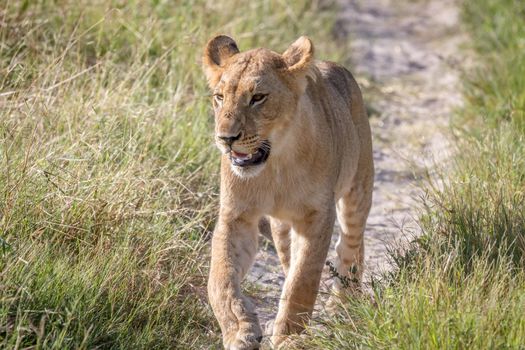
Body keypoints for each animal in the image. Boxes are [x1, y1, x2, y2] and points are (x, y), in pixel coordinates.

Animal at [202, 34, 372, 348]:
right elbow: (220, 278)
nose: (226, 138)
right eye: (219, 97)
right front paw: (240, 330)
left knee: (351, 244)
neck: (275, 166)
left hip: (358, 189)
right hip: (281, 228)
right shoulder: (236, 215)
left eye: (258, 98)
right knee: (289, 256)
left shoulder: (318, 216)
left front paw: (289, 338)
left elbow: (302, 280)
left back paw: (343, 303)